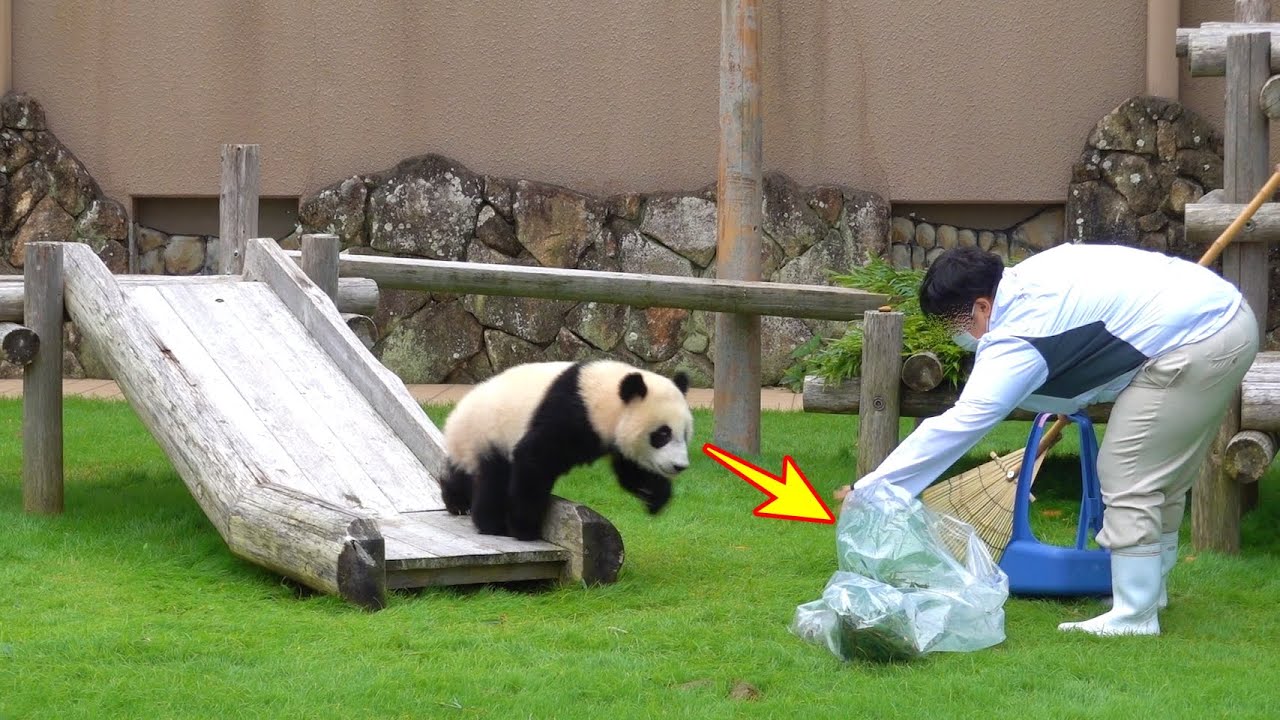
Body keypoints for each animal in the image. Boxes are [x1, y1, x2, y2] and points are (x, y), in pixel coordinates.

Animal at [439, 359, 694, 541]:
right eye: (662, 434)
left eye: (684, 434)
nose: (679, 466)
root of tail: (456, 415)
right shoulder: (569, 413)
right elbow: (534, 460)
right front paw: (524, 528)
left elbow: (631, 470)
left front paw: (655, 496)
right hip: (488, 433)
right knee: (493, 478)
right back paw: (487, 521)